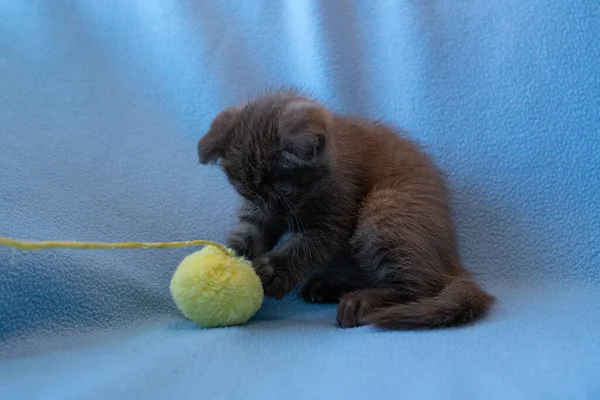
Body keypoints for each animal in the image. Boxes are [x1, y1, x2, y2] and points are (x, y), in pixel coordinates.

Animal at [197, 89, 492, 330]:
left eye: (285, 193)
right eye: (247, 192)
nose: (270, 211)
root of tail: (451, 261)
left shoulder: (335, 214)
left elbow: (306, 247)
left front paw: (273, 272)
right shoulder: (256, 218)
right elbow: (248, 234)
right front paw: (227, 258)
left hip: (384, 208)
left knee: (422, 287)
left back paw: (362, 301)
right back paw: (327, 286)